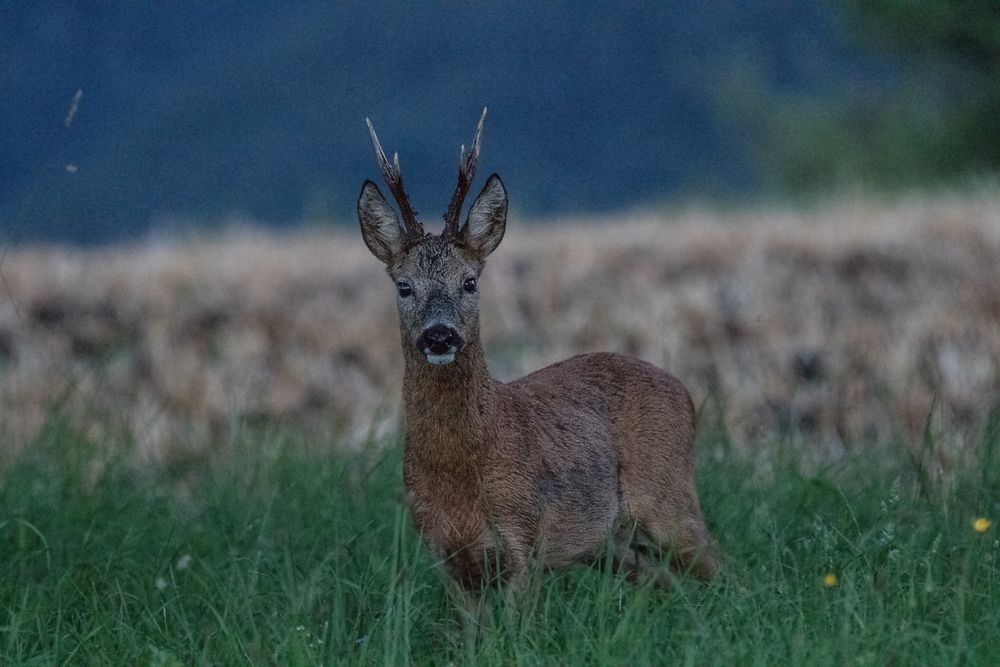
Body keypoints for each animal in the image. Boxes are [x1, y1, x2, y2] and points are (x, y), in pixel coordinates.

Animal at [358, 109, 720, 600]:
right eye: (404, 286)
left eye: (470, 281)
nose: (439, 335)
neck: (461, 466)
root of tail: (684, 391)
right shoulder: (445, 553)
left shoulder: (523, 536)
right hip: (609, 542)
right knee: (659, 577)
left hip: (667, 494)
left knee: (724, 566)